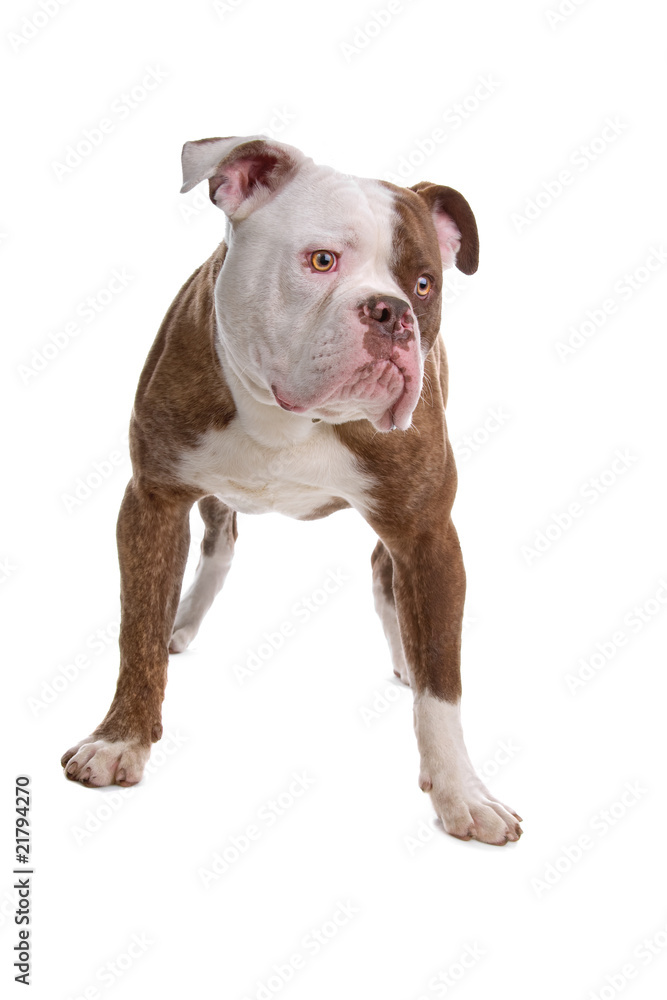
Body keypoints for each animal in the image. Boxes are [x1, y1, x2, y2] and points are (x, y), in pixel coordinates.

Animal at [60, 135, 524, 844]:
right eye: (322, 260)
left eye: (424, 285)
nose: (391, 313)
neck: (294, 420)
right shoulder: (152, 501)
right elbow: (136, 631)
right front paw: (121, 740)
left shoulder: (427, 533)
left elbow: (443, 680)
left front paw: (461, 793)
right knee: (220, 541)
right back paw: (182, 620)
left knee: (382, 572)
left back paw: (403, 651)